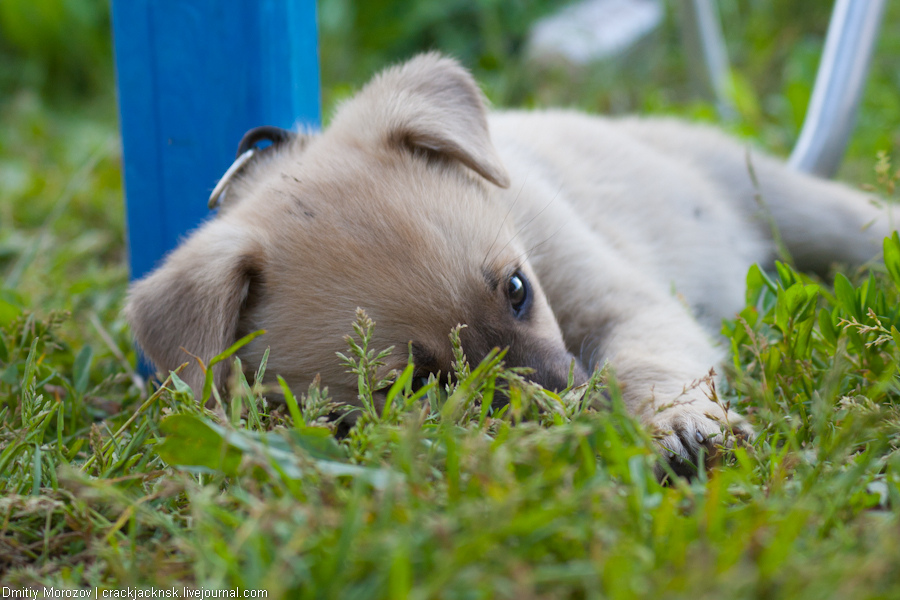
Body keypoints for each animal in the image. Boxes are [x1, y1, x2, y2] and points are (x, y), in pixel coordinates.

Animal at [125, 51, 884, 472]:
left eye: (518, 288)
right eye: (414, 387)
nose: (566, 408)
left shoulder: (624, 301)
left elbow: (645, 365)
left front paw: (681, 424)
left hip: (798, 203)